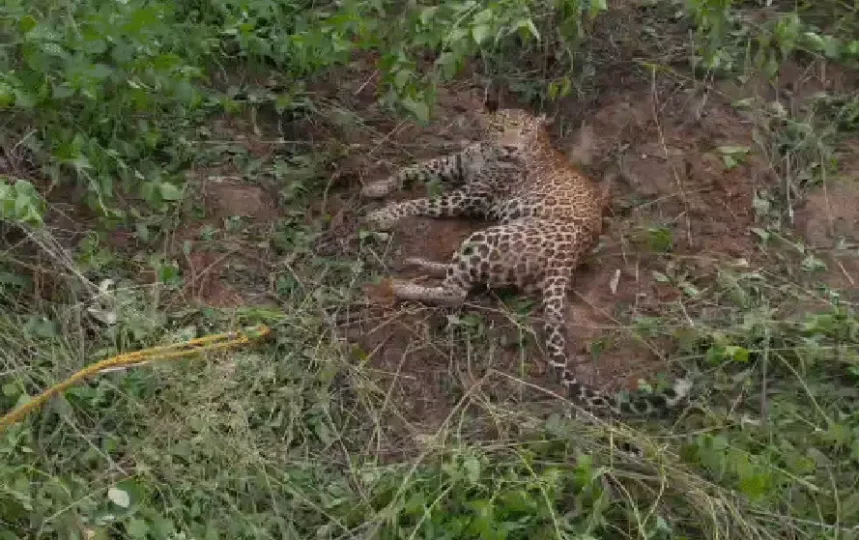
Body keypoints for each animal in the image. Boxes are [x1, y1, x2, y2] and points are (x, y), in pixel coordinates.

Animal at [362, 106, 692, 418]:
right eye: (500, 129)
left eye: (522, 133)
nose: (511, 148)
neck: (487, 152)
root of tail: (570, 260)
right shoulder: (454, 164)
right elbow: (410, 169)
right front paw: (377, 187)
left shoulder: (469, 197)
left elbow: (421, 202)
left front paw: (383, 215)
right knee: (467, 280)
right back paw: (420, 264)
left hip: (490, 236)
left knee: (455, 293)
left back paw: (397, 287)